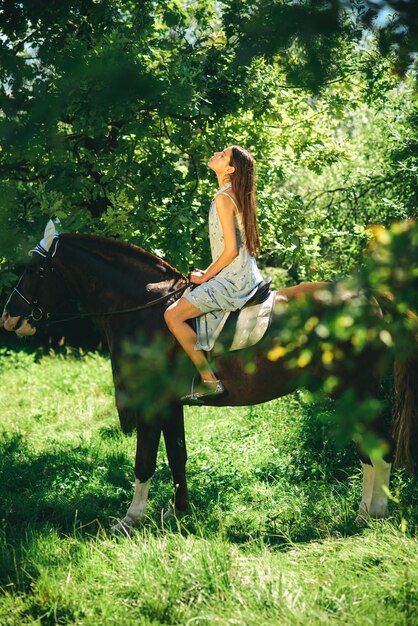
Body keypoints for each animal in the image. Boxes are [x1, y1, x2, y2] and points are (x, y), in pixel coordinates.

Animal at [1, 222, 416, 528]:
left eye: (35, 270)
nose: (8, 316)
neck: (142, 308)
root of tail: (370, 299)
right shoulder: (172, 406)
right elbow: (178, 456)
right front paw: (179, 512)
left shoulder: (152, 404)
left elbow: (144, 461)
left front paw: (131, 519)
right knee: (370, 449)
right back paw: (366, 513)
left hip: (356, 392)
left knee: (380, 446)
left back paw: (375, 513)